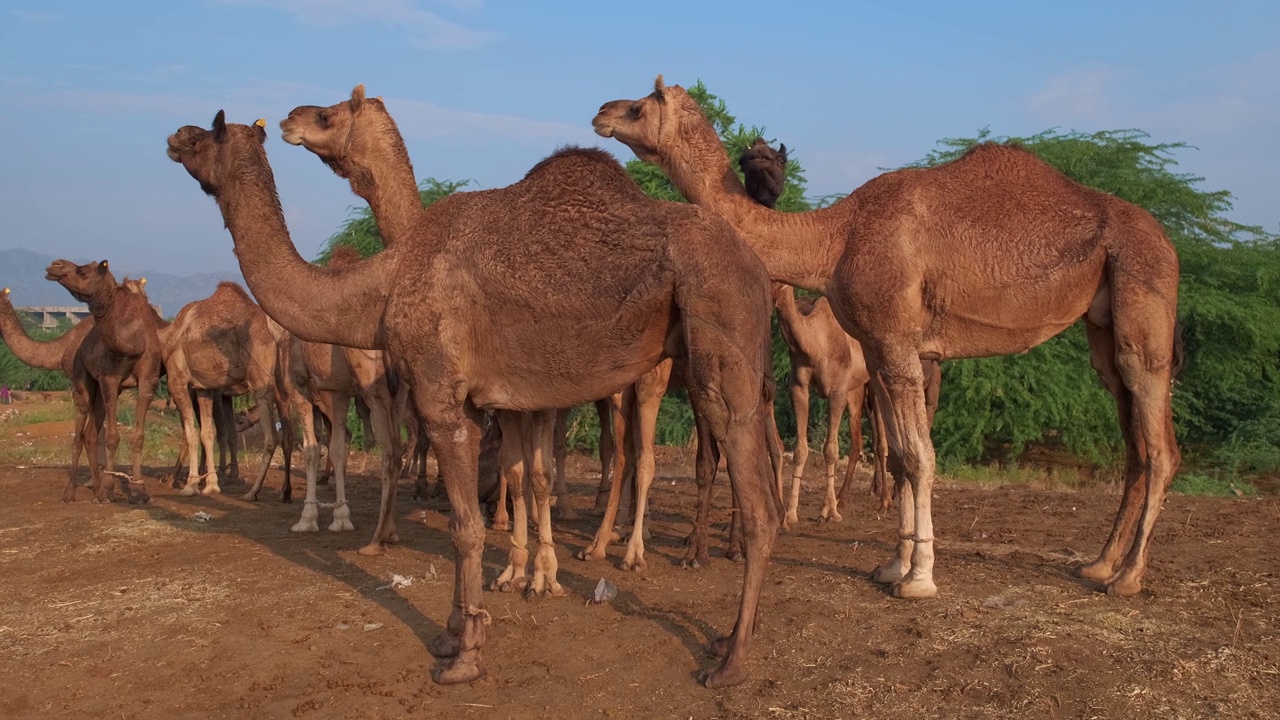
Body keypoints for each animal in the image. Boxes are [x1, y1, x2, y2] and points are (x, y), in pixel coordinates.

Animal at [45, 258, 166, 504]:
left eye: (83, 271)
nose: (55, 265)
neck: (133, 341)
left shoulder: (147, 381)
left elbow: (138, 437)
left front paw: (140, 491)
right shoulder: (110, 379)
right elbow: (112, 437)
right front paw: (110, 488)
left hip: (100, 392)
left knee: (90, 434)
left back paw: (97, 489)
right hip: (81, 376)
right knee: (78, 433)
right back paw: (71, 493)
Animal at [171, 99, 778, 681]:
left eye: (205, 136)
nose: (174, 137)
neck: (383, 282)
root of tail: (757, 267)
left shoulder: (438, 395)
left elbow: (466, 528)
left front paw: (466, 657)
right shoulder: (475, 401)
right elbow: (489, 503)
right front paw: (453, 633)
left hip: (716, 334)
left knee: (755, 502)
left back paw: (729, 661)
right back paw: (725, 635)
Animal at [596, 75, 1177, 597]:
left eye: (642, 103)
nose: (601, 111)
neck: (835, 238)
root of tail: (1166, 239)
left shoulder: (897, 341)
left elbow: (921, 457)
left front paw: (919, 580)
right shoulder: (877, 348)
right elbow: (898, 456)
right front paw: (892, 566)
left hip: (1144, 300)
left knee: (1160, 443)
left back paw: (1128, 578)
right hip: (1103, 329)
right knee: (1134, 439)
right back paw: (1099, 565)